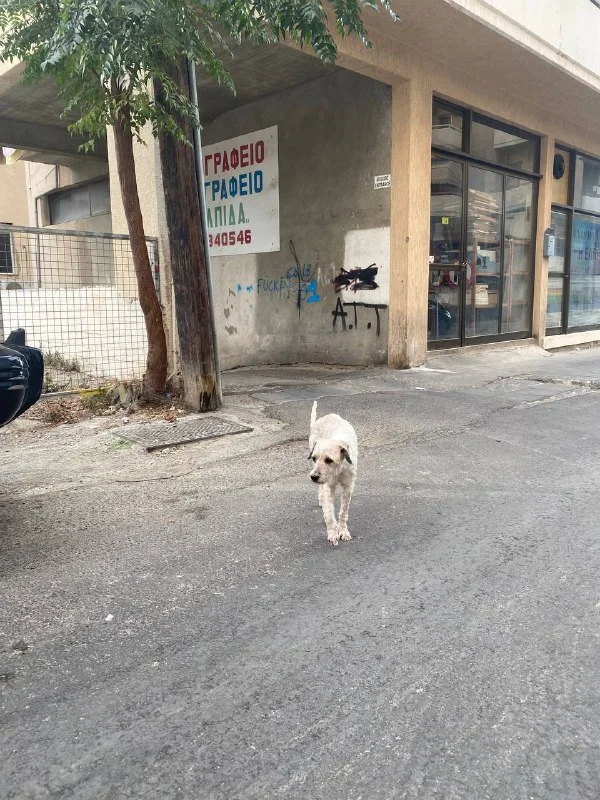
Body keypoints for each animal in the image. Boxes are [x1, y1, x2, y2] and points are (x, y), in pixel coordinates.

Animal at [308, 401, 358, 546]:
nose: (313, 477)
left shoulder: (348, 487)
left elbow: (343, 512)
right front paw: (332, 533)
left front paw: (343, 531)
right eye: (314, 458)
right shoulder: (328, 486)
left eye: (329, 460)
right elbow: (329, 514)